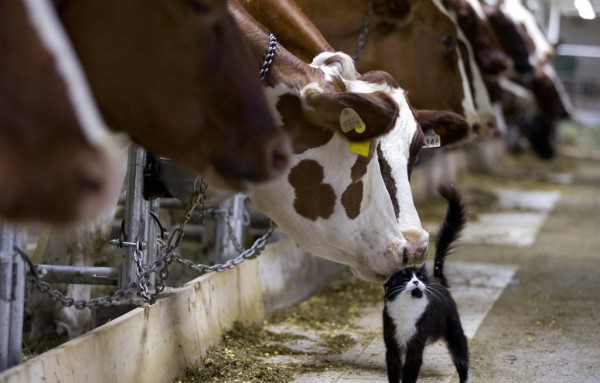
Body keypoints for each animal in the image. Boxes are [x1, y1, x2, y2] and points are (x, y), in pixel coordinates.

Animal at [382, 184, 472, 383]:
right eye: (404, 278)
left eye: (420, 278)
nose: (416, 281)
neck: (407, 311)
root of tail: (438, 280)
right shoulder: (392, 346)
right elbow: (394, 371)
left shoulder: (416, 346)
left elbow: (410, 372)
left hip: (455, 333)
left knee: (462, 359)